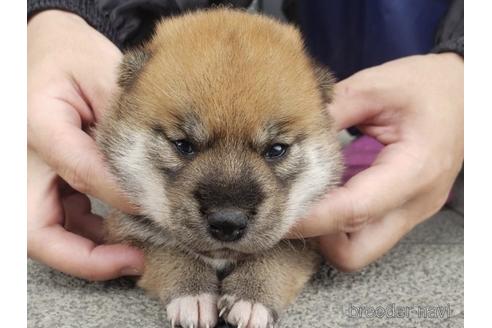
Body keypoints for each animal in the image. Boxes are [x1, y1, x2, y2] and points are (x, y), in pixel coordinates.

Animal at [96, 7, 342, 328]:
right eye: (183, 144)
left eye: (276, 150)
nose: (228, 222)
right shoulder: (128, 229)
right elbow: (168, 250)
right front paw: (194, 294)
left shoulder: (308, 237)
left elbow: (278, 254)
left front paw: (251, 297)